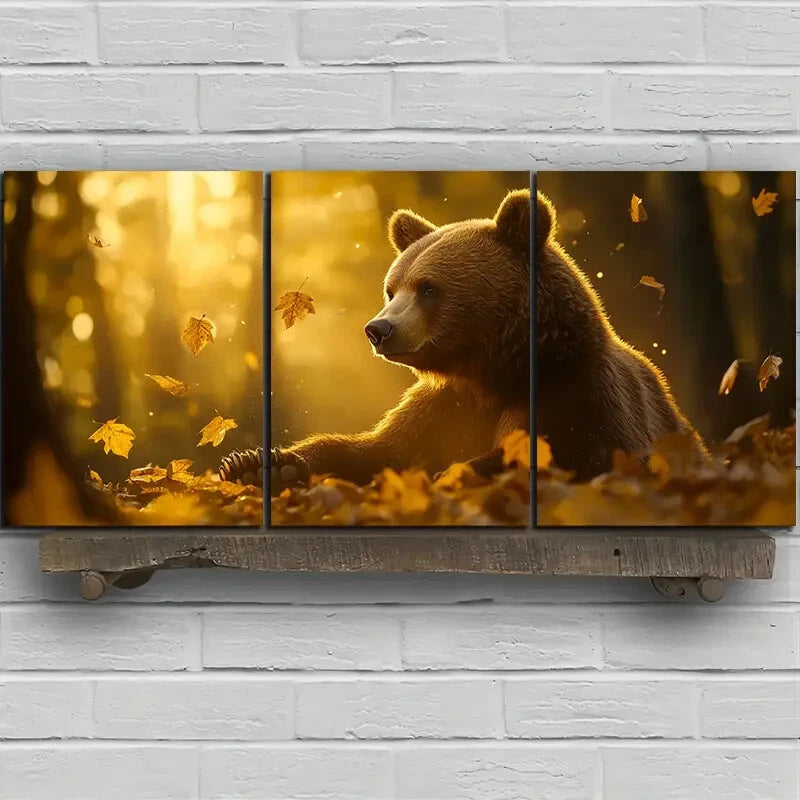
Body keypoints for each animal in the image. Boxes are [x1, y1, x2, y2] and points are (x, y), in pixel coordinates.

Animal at [270, 189, 531, 492]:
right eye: (391, 291)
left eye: (428, 288)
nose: (377, 329)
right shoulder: (438, 409)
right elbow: (376, 452)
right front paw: (274, 466)